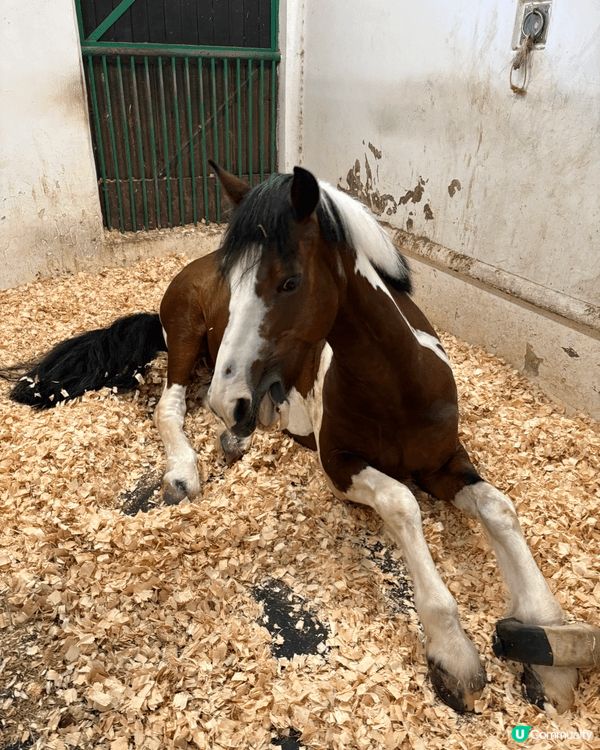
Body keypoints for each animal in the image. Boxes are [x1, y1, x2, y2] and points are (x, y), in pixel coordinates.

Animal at [6, 162, 583, 714]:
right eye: (235, 287)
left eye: (289, 283)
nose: (229, 398)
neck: (400, 387)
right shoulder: (340, 465)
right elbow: (402, 503)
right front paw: (454, 654)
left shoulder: (446, 463)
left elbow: (499, 509)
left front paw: (548, 644)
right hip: (186, 339)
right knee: (170, 407)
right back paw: (184, 471)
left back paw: (235, 438)